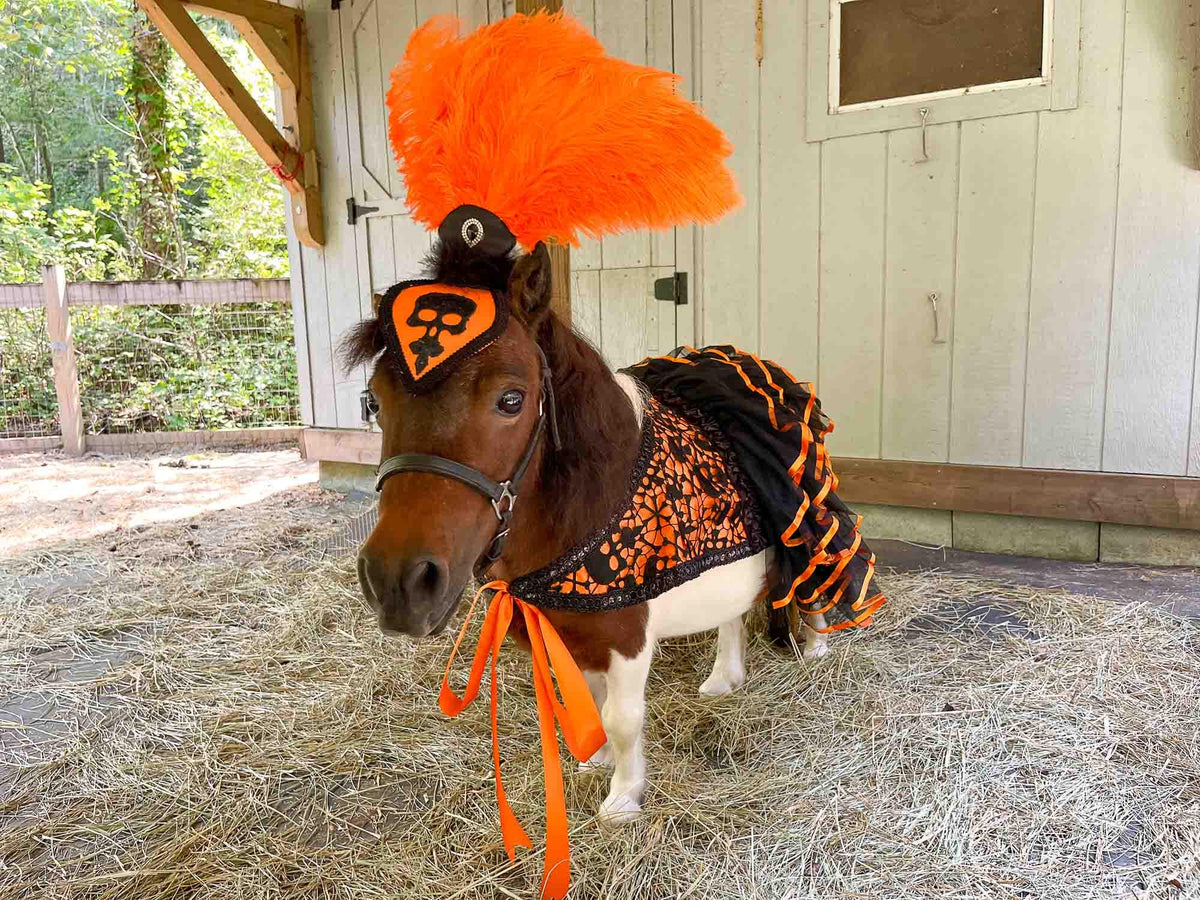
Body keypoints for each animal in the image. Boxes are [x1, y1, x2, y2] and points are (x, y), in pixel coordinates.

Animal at [343, 240, 835, 824]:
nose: (398, 583)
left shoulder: (627, 638)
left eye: (511, 399)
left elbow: (623, 718)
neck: (596, 499)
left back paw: (817, 647)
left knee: (820, 582)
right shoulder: (568, 629)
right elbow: (589, 701)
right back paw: (723, 679)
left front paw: (623, 799)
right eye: (374, 401)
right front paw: (595, 761)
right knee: (732, 614)